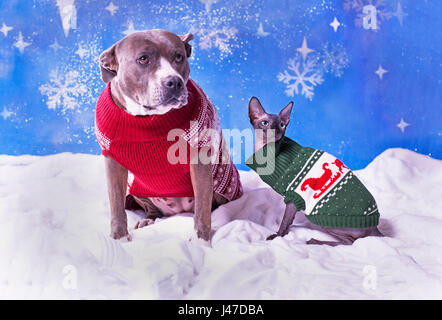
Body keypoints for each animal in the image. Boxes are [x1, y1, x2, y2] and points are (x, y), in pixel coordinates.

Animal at [96, 30, 242, 242]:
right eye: (143, 59)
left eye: (179, 57)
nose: (174, 82)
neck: (147, 119)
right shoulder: (112, 161)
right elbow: (116, 205)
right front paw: (119, 238)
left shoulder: (200, 159)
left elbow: (202, 209)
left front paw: (200, 241)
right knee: (152, 210)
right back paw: (147, 220)